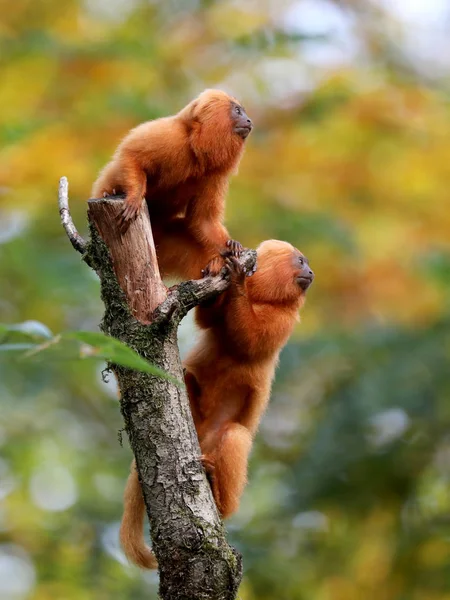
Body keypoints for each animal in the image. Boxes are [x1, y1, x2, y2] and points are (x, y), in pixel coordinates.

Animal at [91, 88, 253, 278]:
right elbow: (131, 156)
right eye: (238, 111)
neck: (195, 150)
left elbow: (203, 221)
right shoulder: (171, 136)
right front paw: (134, 197)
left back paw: (215, 265)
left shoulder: (213, 175)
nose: (249, 120)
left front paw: (230, 245)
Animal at [119, 239, 312, 568]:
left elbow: (251, 340)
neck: (263, 298)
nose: (311, 272)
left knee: (234, 435)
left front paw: (236, 282)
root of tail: (202, 433)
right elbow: (208, 320)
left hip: (215, 440)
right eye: (301, 261)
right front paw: (214, 269)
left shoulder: (286, 320)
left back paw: (218, 496)